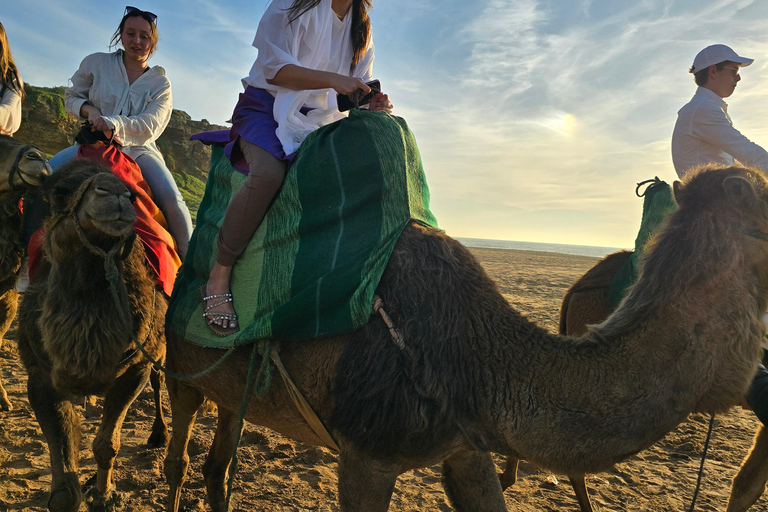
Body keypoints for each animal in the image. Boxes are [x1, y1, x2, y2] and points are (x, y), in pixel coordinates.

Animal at [15, 161, 169, 512]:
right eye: (59, 192)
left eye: (133, 193)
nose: (114, 194)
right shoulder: (39, 376)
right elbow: (63, 488)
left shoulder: (135, 370)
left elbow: (106, 445)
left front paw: (104, 494)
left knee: (159, 379)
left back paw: (159, 435)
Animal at [165, 165, 768, 512]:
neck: (476, 359)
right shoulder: (365, 454)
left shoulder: (464, 445)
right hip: (179, 364)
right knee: (180, 441)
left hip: (238, 390)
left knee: (219, 463)